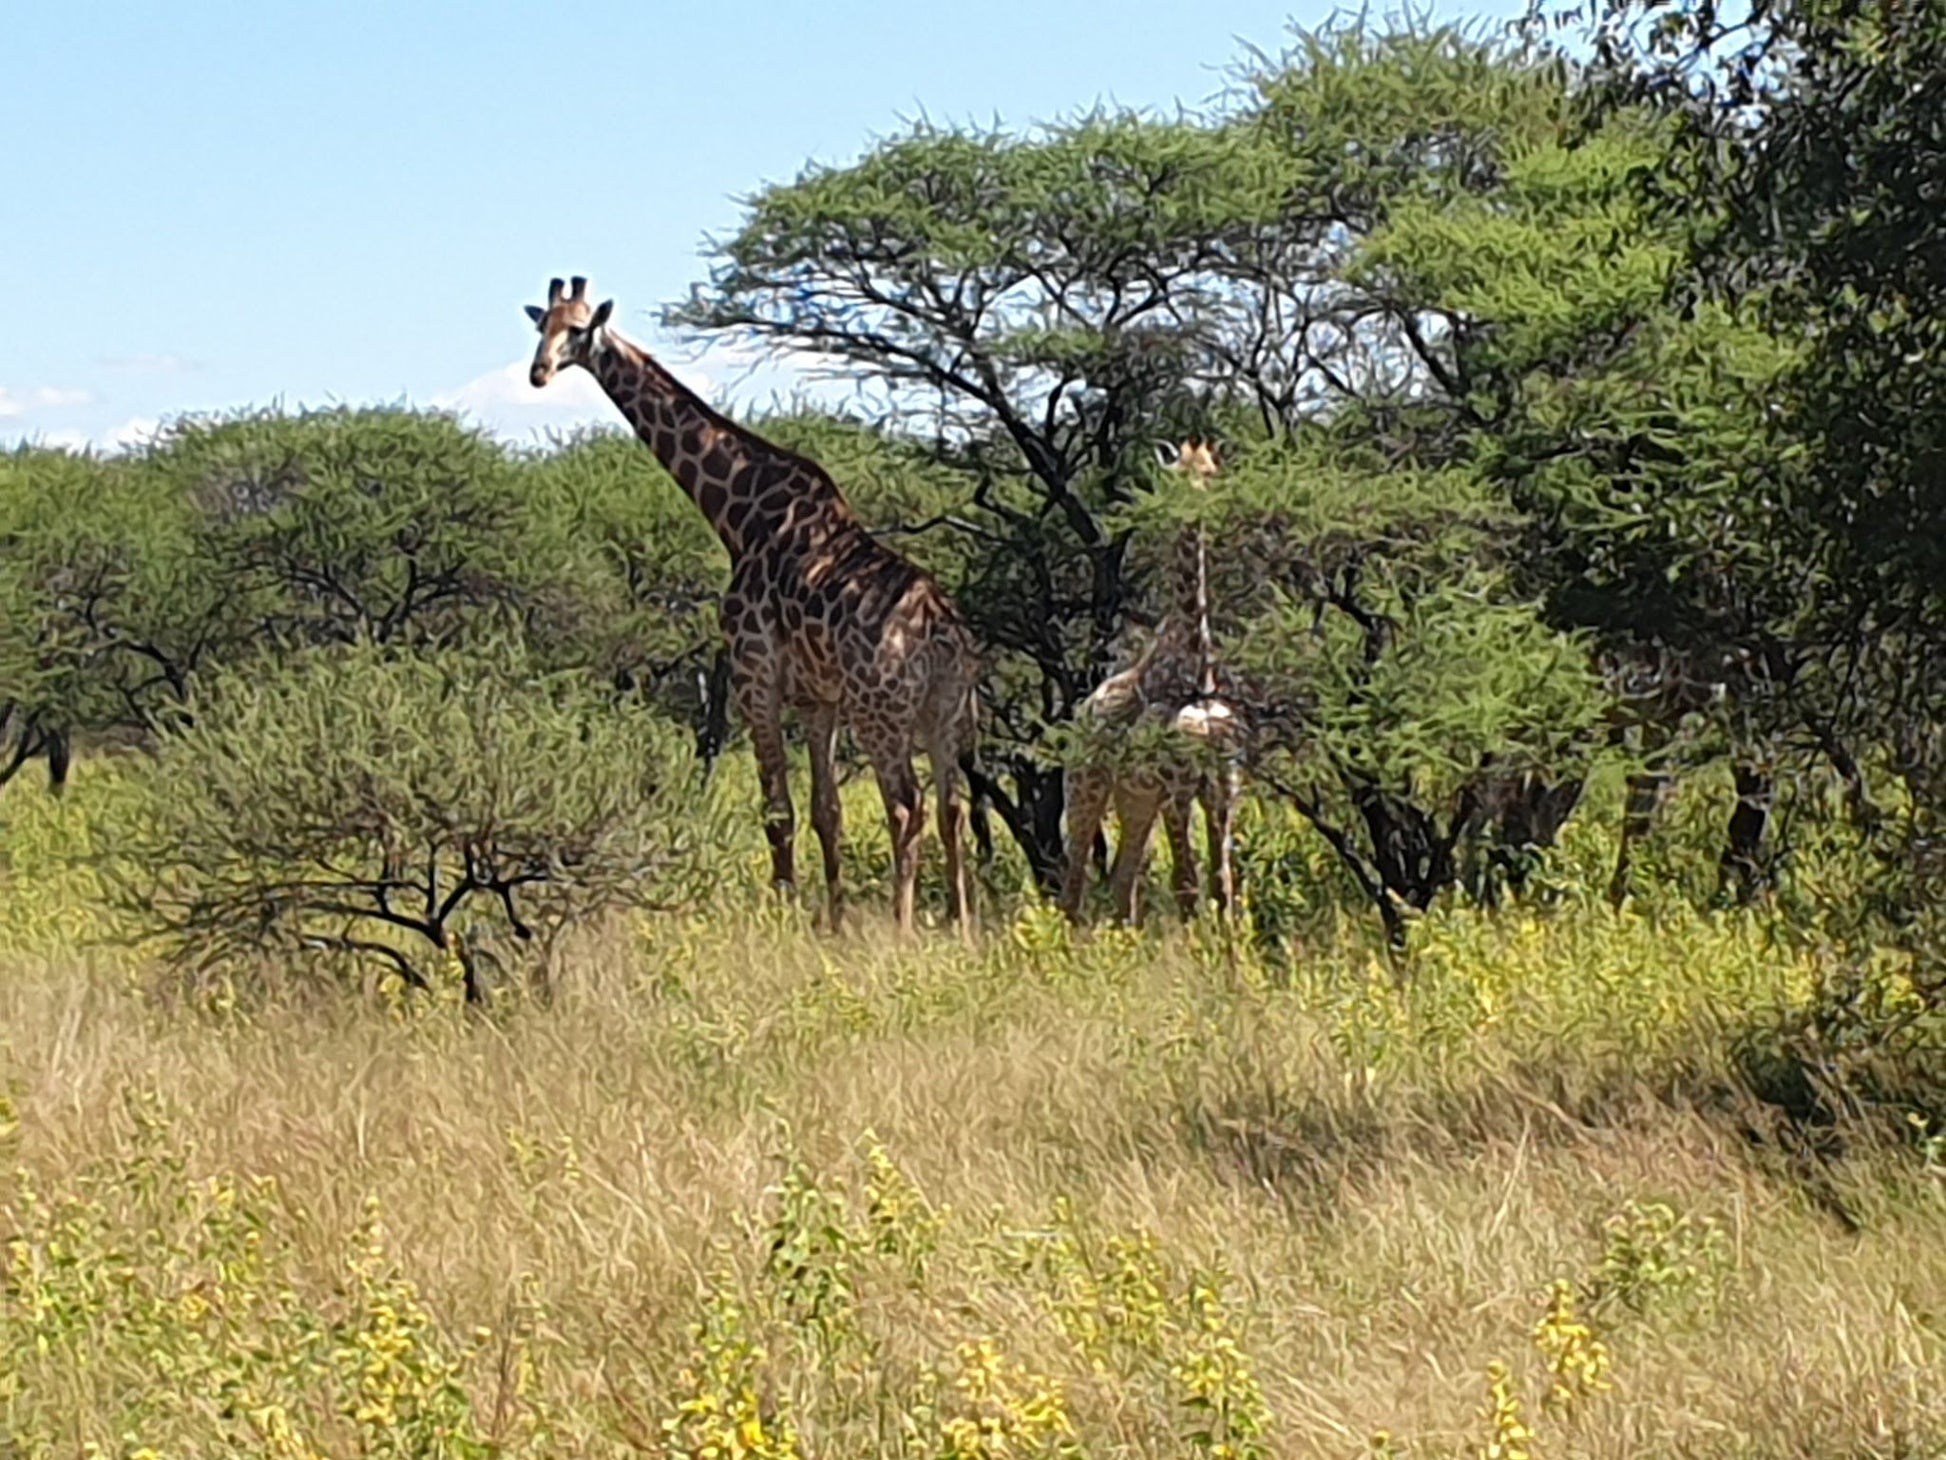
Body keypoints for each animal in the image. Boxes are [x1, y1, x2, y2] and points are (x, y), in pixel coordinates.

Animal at [525, 276, 980, 938]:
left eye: (579, 329)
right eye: (542, 326)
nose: (538, 373)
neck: (738, 516)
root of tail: (940, 632)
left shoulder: (754, 673)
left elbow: (777, 810)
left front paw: (785, 912)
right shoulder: (819, 698)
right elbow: (827, 811)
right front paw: (833, 921)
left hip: (882, 710)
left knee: (906, 805)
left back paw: (902, 927)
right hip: (944, 712)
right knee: (951, 806)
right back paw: (963, 925)